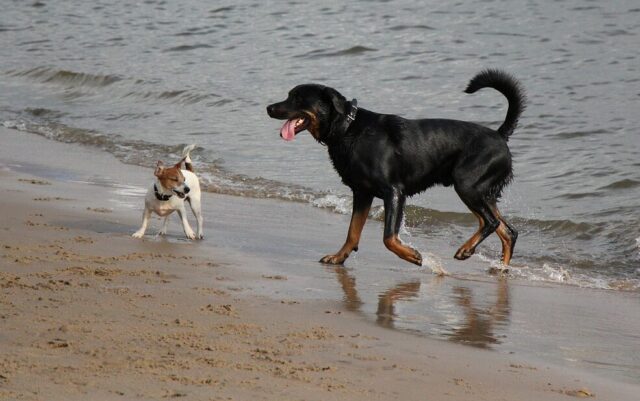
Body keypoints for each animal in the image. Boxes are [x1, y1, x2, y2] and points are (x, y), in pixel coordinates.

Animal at [268, 69, 524, 266]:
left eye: (297, 98)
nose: (269, 108)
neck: (348, 129)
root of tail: (500, 135)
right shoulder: (362, 193)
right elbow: (352, 232)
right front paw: (339, 257)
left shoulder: (393, 192)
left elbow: (388, 237)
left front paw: (411, 255)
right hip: (481, 192)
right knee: (506, 230)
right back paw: (500, 269)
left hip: (468, 185)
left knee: (491, 222)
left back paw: (467, 250)